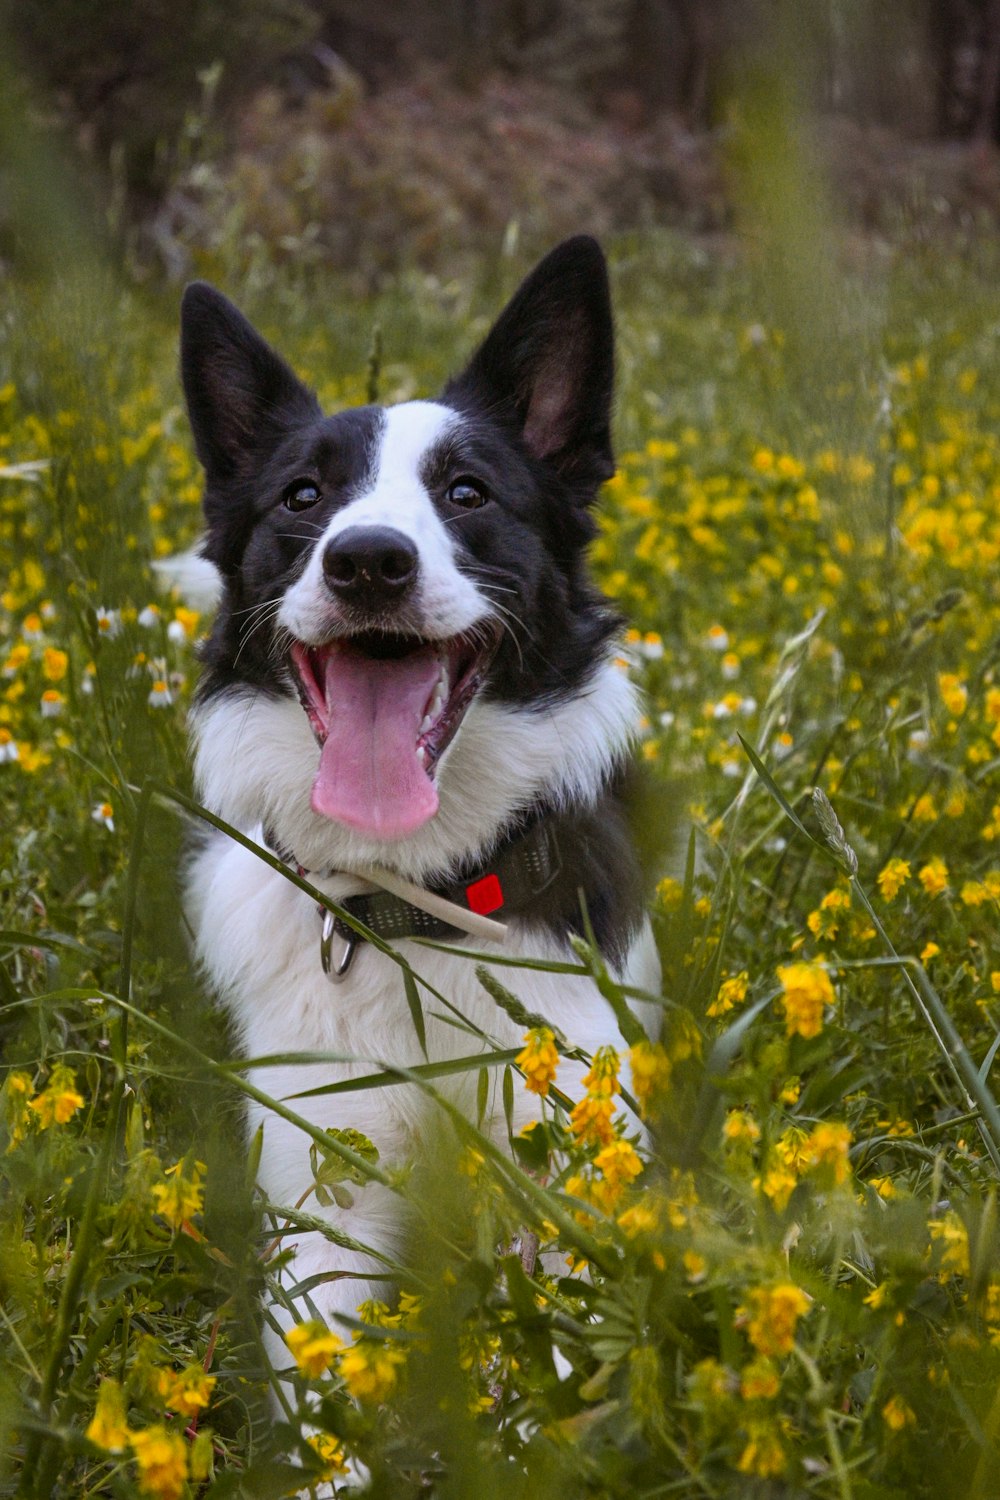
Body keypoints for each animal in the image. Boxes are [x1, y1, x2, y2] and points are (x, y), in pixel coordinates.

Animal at [179, 237, 665, 1374]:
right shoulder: (323, 1192)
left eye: (469, 492)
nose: (368, 562)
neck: (413, 901)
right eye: (302, 497)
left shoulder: (574, 1170)